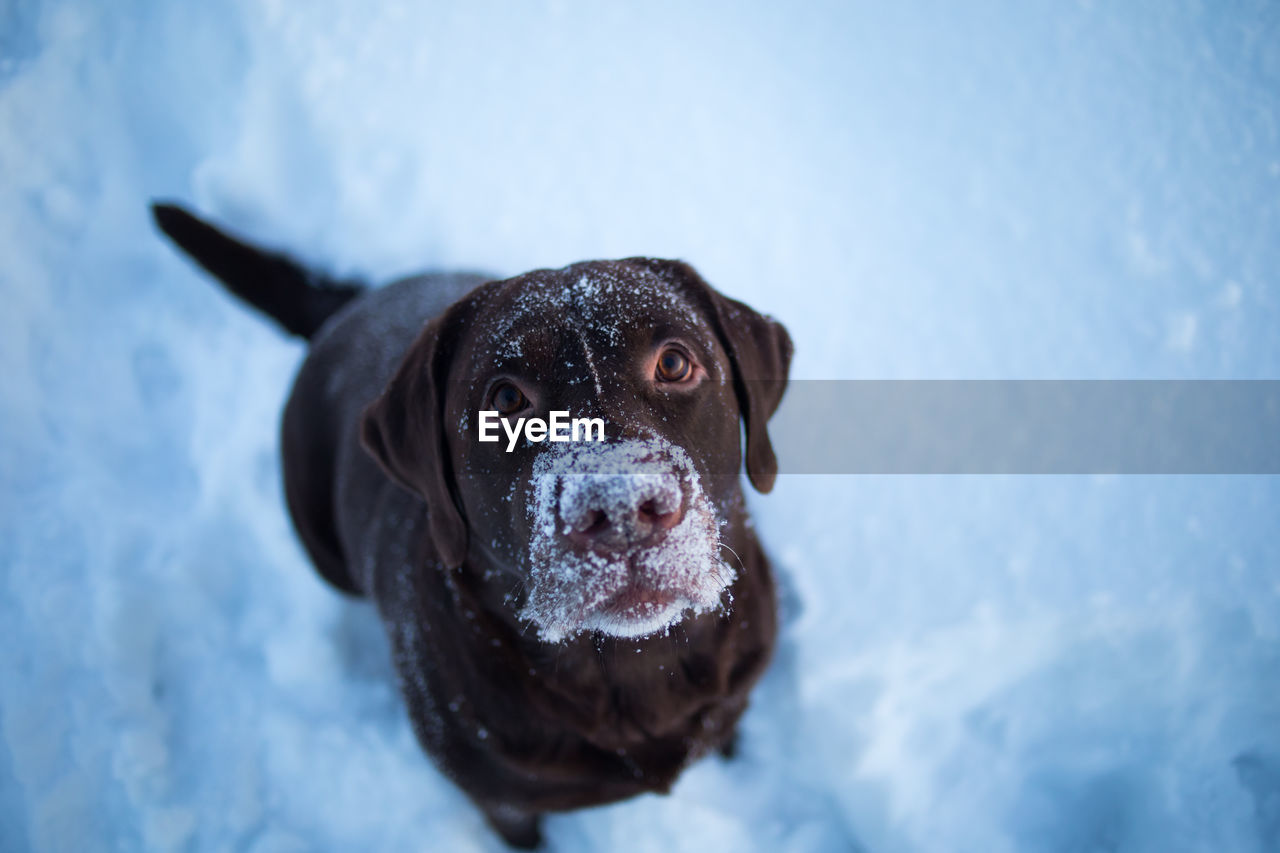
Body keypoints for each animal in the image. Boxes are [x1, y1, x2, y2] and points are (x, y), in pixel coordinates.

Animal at [149, 201, 788, 845]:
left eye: (675, 363)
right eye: (506, 400)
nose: (622, 507)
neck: (633, 668)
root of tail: (350, 302)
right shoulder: (498, 798)